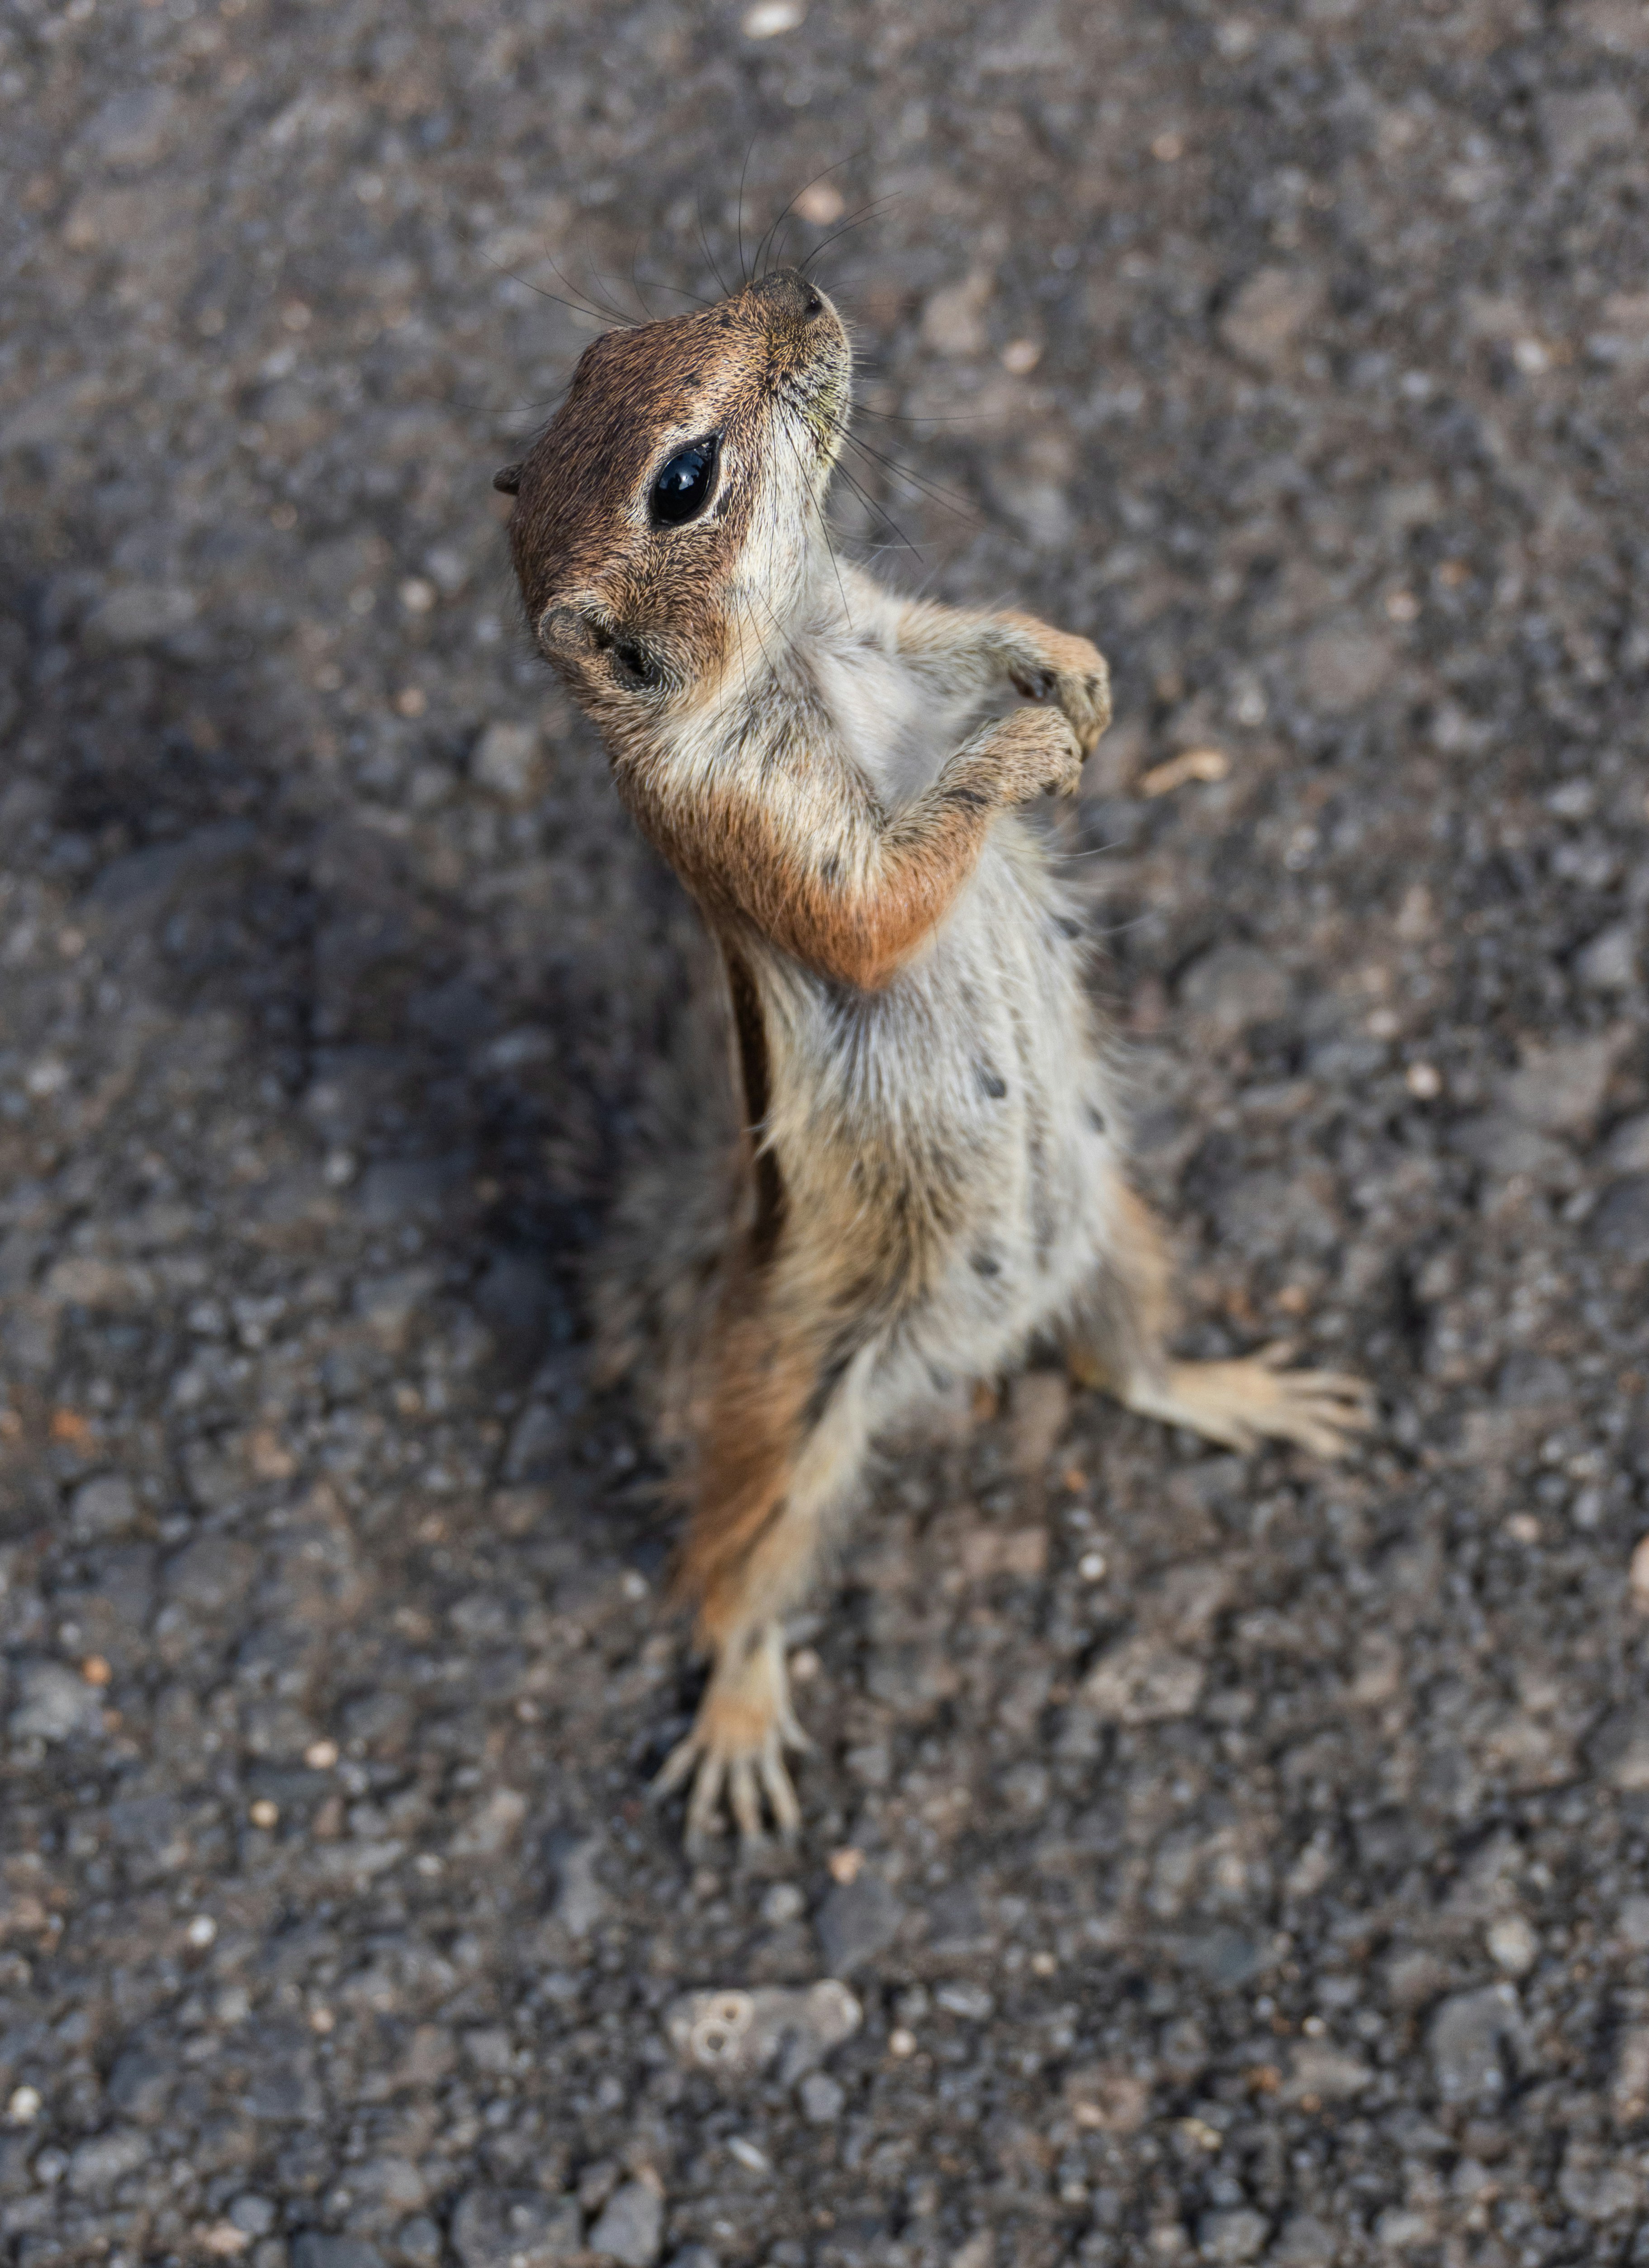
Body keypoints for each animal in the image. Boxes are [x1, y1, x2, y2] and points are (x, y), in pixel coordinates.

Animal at [495, 267, 1372, 1852]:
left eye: (607, 343)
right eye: (681, 483)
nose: (797, 286)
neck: (798, 643)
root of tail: (958, 1356)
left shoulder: (887, 621)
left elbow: (963, 632)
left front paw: (1063, 664)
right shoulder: (758, 820)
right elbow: (882, 898)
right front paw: (1017, 752)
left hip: (1117, 1231)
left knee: (1122, 1369)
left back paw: (1238, 1390)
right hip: (792, 1410)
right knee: (738, 1570)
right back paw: (739, 1716)